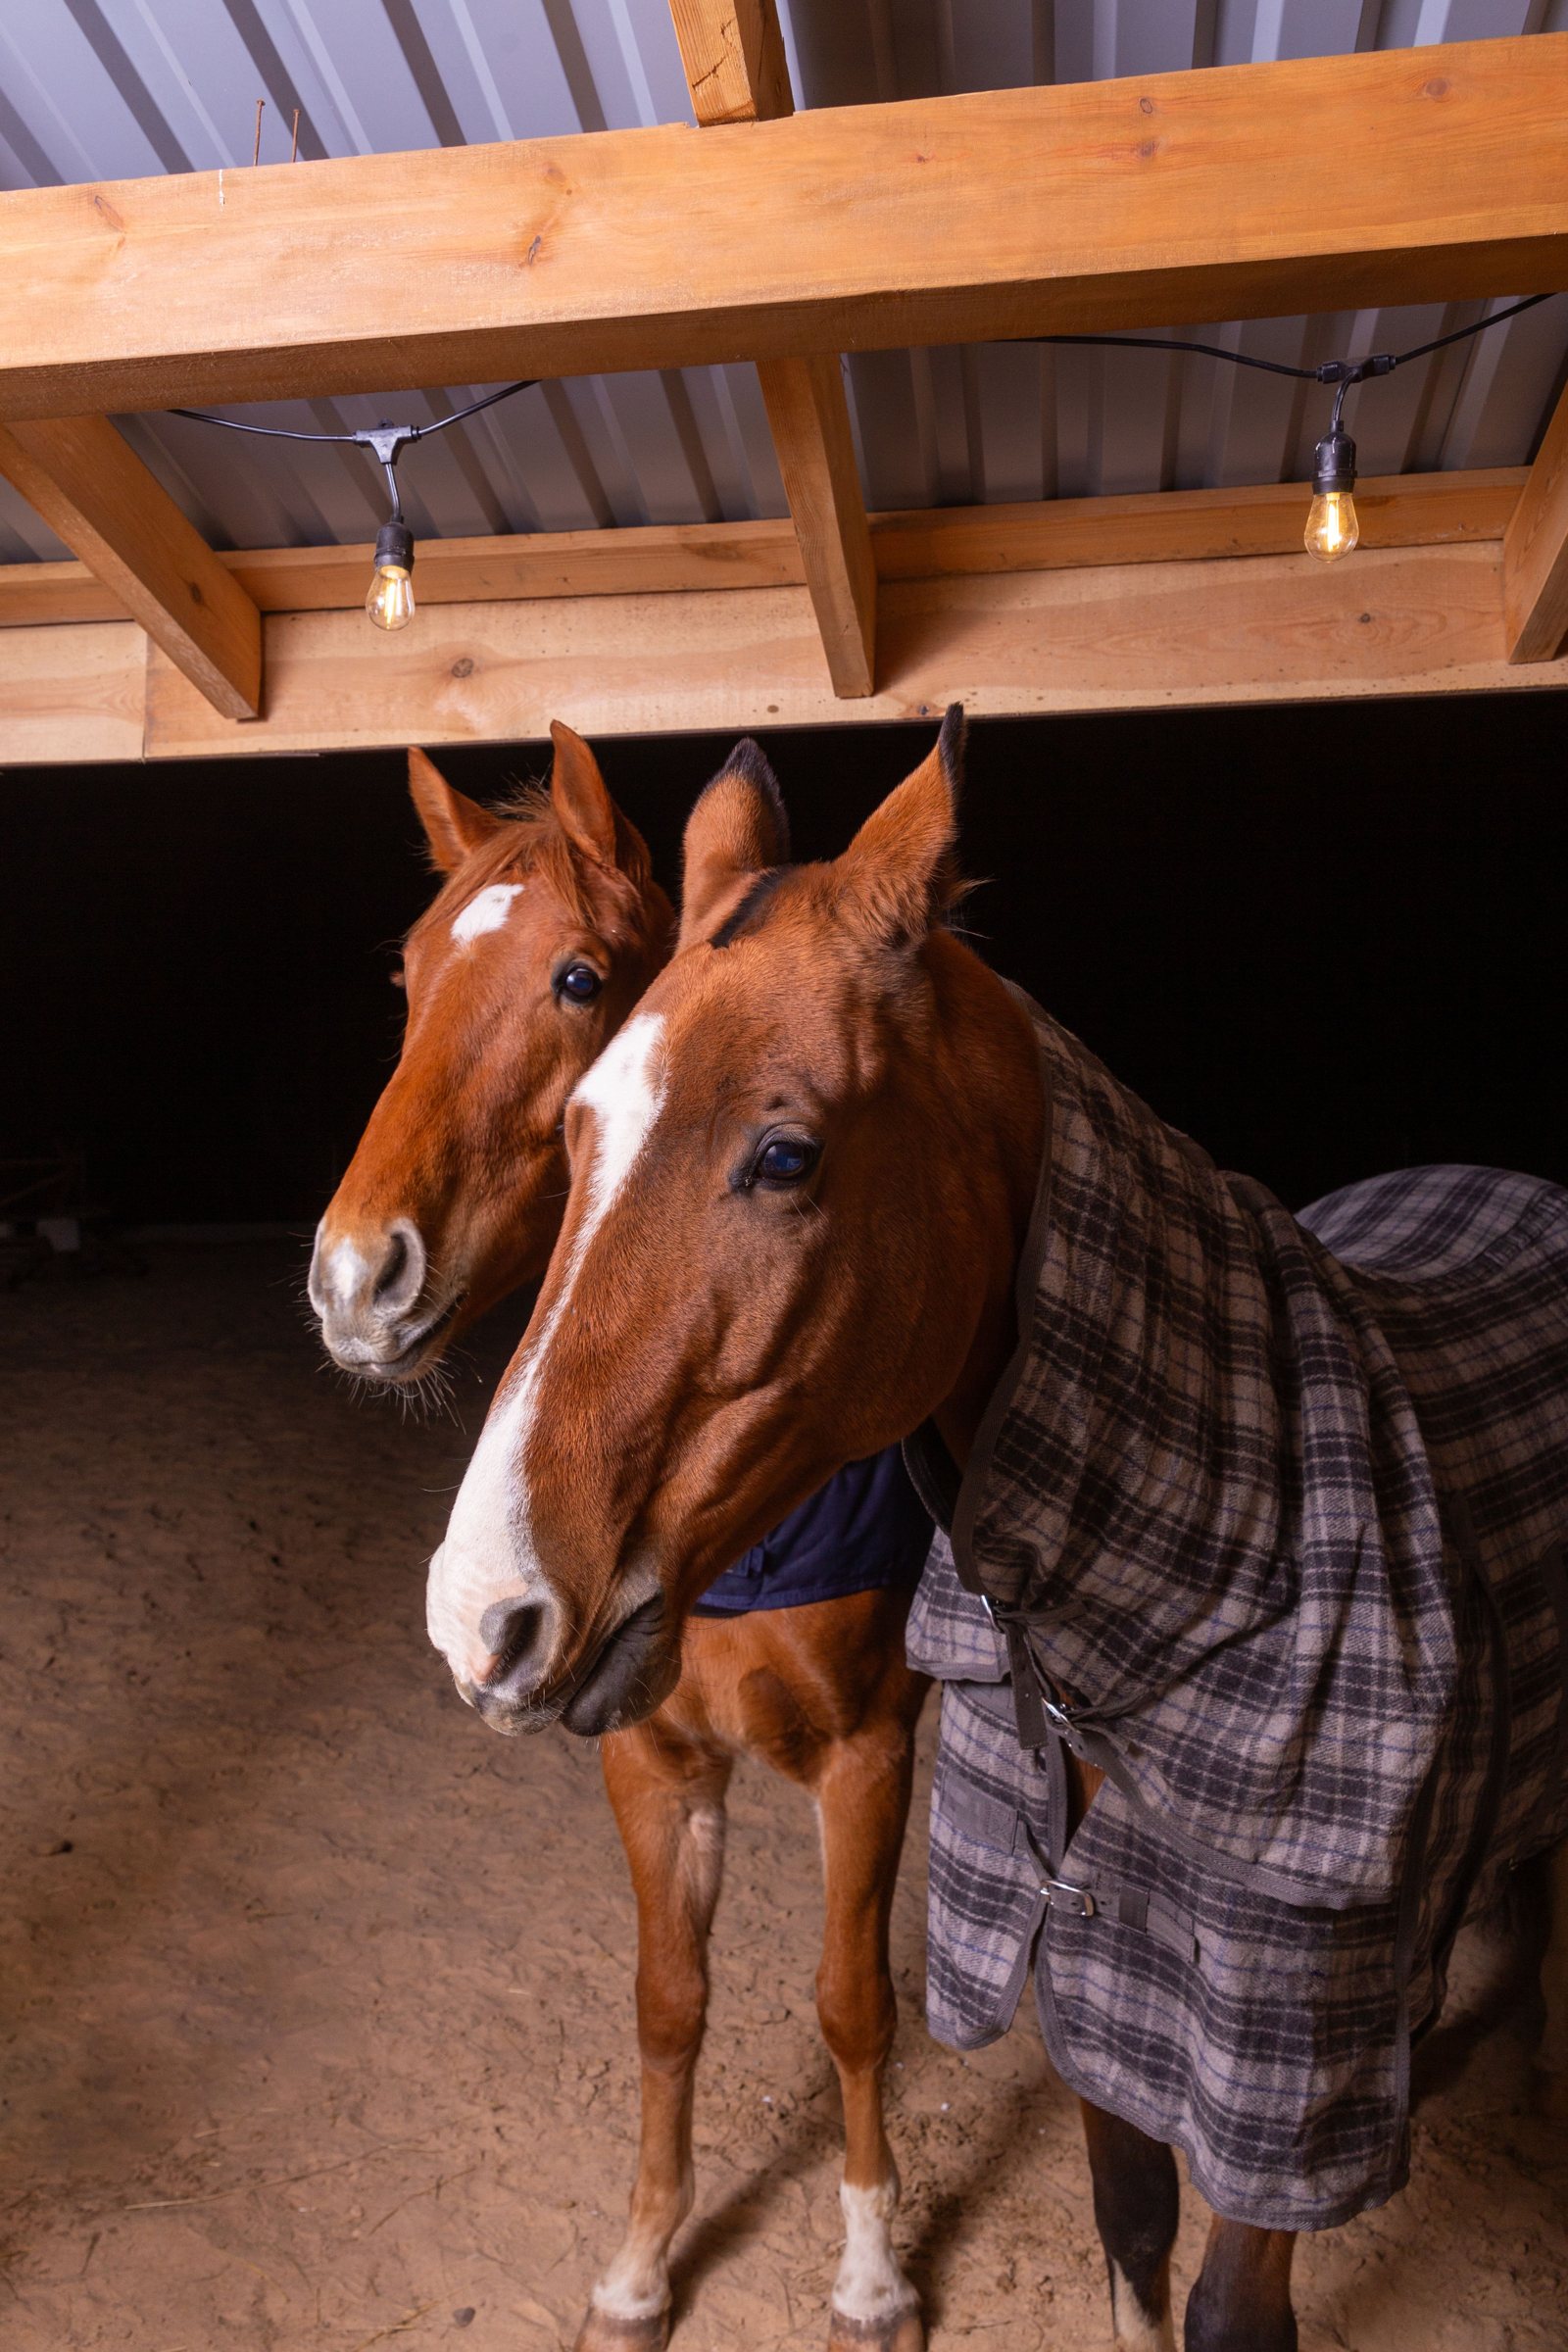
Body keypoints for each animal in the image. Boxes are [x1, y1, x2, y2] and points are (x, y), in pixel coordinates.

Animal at [309, 727, 931, 2352]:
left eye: (581, 979)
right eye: (407, 976)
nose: (351, 1278)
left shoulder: (871, 1753)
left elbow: (853, 2006)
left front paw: (872, 2270)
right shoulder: (648, 1757)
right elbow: (669, 2006)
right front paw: (643, 2264)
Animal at [425, 711, 1568, 2352]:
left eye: (785, 1156)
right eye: (579, 1133)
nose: (481, 1610)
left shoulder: (1270, 2084)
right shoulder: (1097, 1996)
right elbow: (1125, 2230)